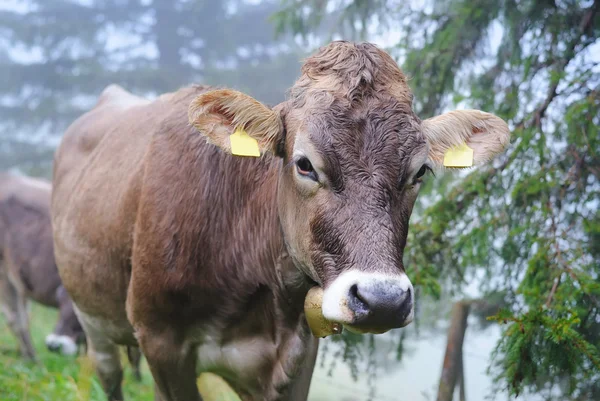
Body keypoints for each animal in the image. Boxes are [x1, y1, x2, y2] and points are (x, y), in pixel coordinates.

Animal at [52, 41, 510, 400]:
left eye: (420, 171)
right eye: (304, 164)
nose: (382, 300)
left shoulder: (297, 356)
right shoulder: (160, 340)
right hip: (92, 316)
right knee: (109, 374)